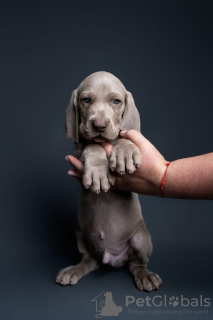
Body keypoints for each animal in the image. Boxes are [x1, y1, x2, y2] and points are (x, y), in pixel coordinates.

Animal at [55, 71, 162, 292]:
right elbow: (92, 146)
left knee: (137, 264)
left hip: (142, 239)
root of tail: (113, 259)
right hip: (81, 236)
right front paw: (98, 172)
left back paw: (145, 276)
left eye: (116, 101)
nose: (99, 125)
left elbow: (125, 136)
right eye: (85, 100)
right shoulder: (77, 152)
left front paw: (125, 152)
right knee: (90, 260)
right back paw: (74, 270)